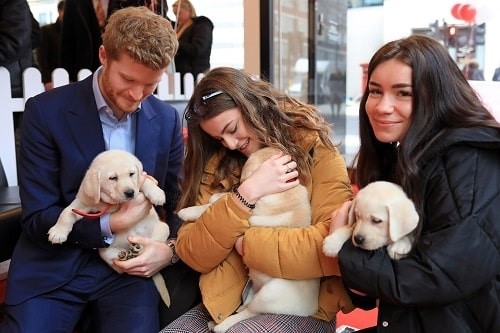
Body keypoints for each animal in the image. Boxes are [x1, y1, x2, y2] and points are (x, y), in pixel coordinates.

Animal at [47, 150, 172, 306]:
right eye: (113, 178)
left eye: (132, 174)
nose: (130, 192)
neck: (114, 202)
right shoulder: (83, 202)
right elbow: (66, 212)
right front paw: (58, 232)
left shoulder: (141, 181)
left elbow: (146, 181)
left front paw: (157, 193)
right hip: (104, 252)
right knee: (119, 266)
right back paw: (126, 255)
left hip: (163, 227)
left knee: (150, 246)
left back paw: (138, 248)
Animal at [180, 147, 318, 332]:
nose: (236, 186)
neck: (283, 191)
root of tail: (311, 309)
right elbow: (222, 202)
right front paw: (218, 197)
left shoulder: (249, 218)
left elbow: (208, 208)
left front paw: (188, 211)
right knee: (247, 304)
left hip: (270, 293)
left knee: (249, 312)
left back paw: (219, 325)